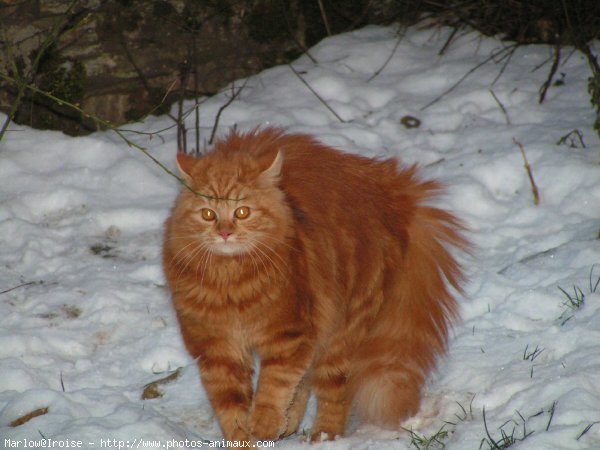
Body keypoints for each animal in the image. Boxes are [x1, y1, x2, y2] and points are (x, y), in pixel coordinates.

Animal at [164, 126, 468, 442]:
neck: (231, 282)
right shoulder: (216, 349)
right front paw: (244, 437)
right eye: (208, 214)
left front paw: (263, 423)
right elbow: (231, 406)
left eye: (243, 212)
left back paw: (323, 436)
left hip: (342, 330)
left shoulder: (288, 334)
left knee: (333, 393)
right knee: (306, 381)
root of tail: (391, 189)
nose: (224, 233)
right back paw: (289, 425)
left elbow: (274, 386)